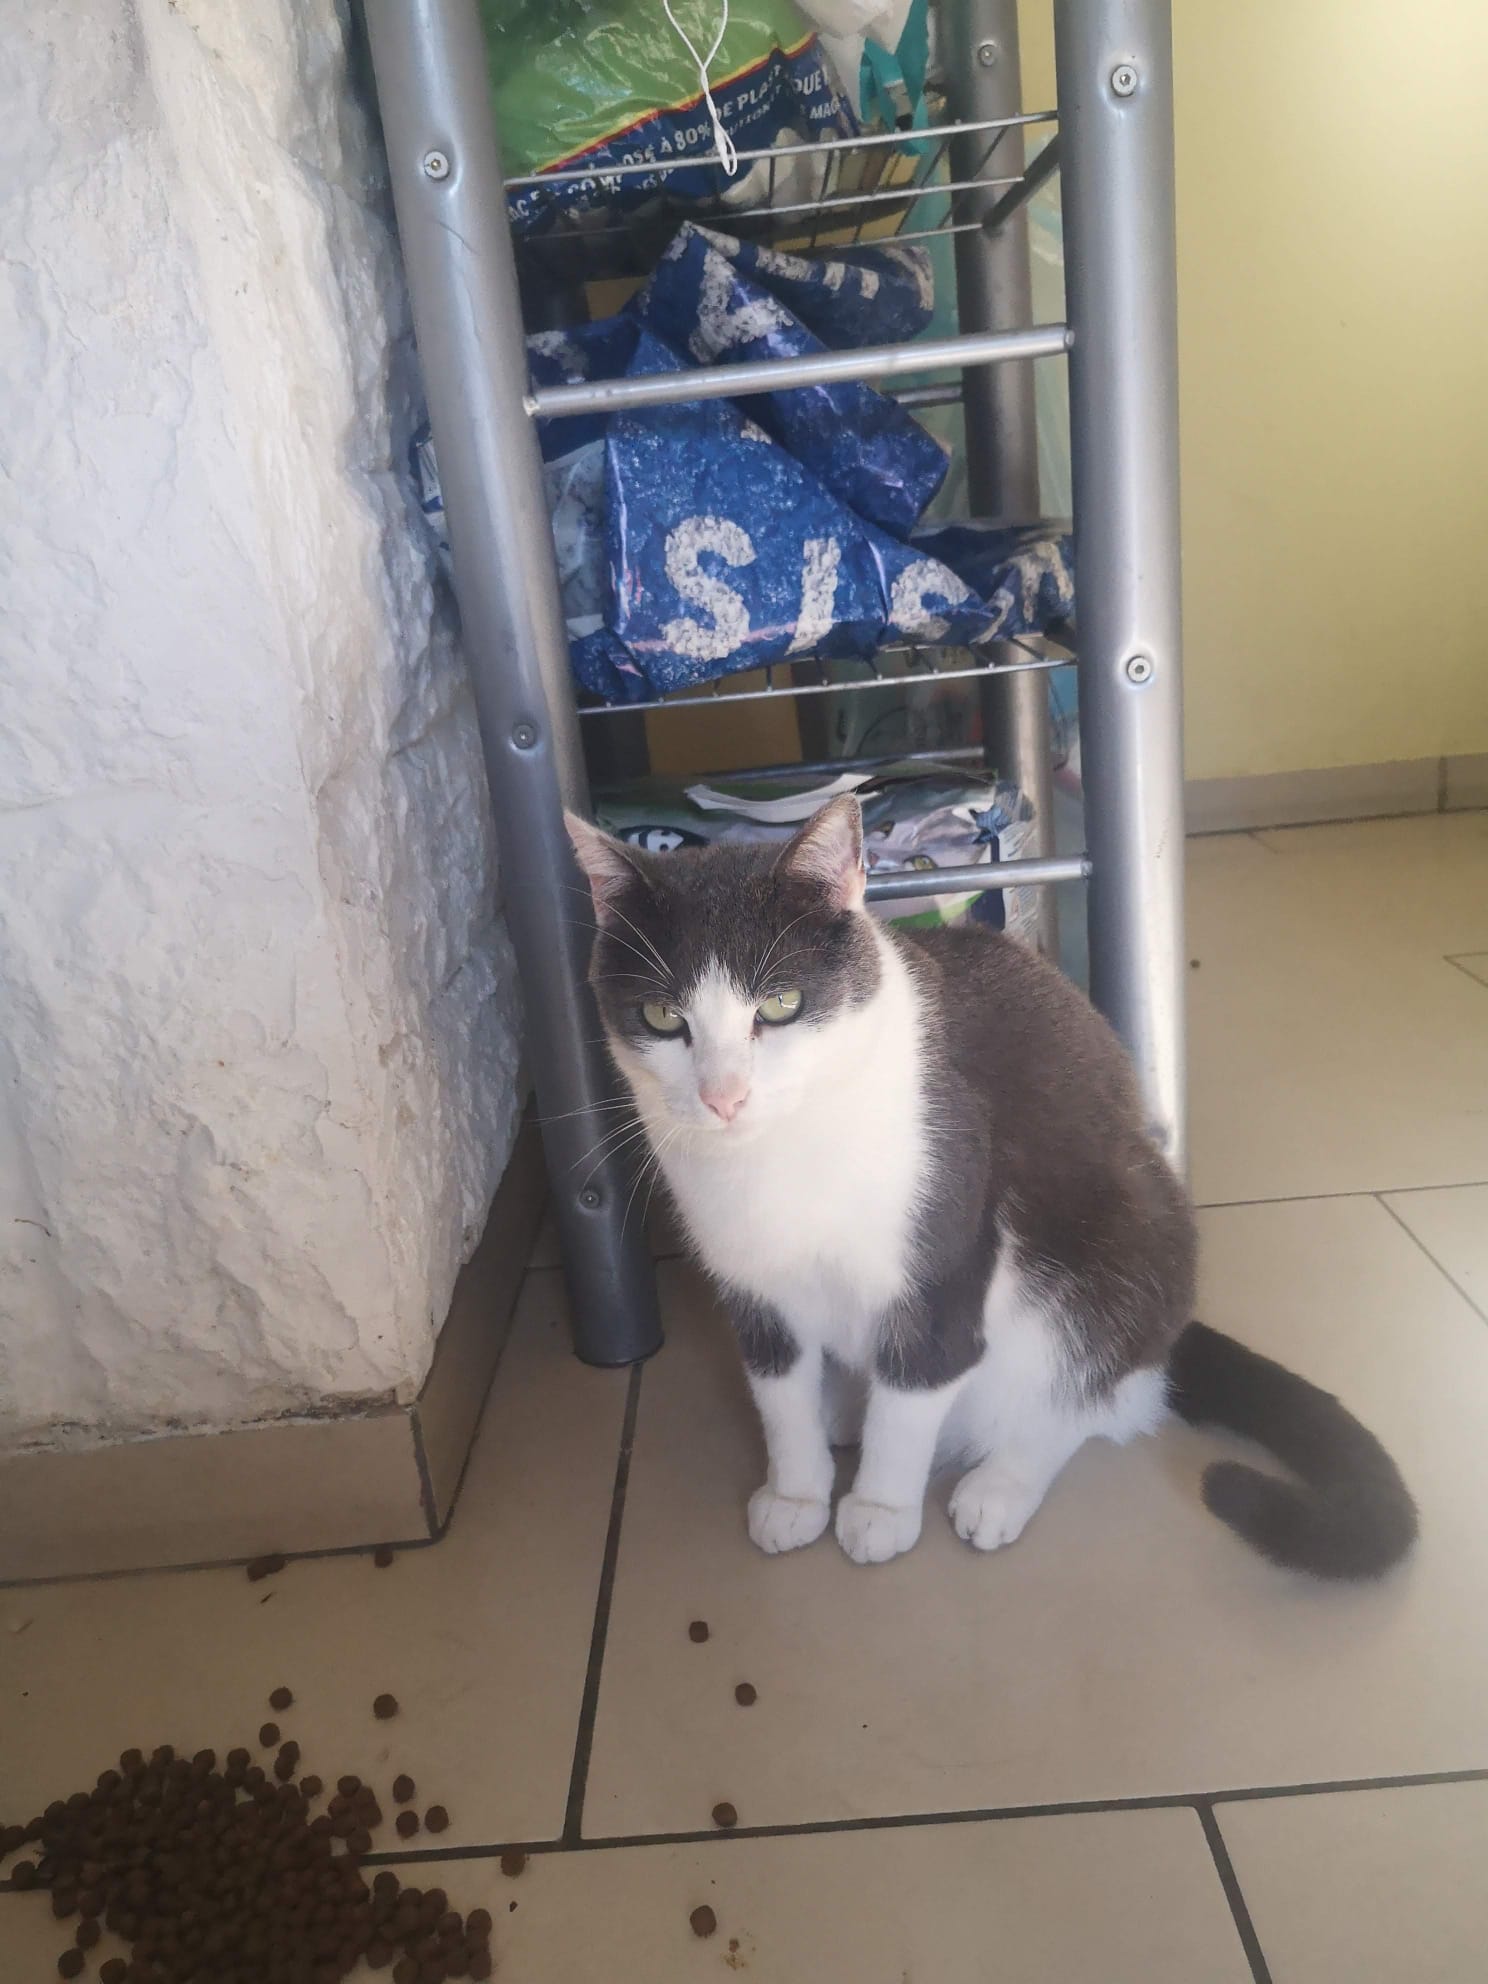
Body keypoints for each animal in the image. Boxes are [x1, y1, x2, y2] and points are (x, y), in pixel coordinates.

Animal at [567, 795, 1417, 1578]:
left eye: (779, 1004)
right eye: (660, 1015)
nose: (724, 1097)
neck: (780, 1156)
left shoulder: (947, 1242)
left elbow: (917, 1388)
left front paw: (879, 1509)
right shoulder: (756, 1284)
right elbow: (779, 1394)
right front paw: (797, 1493)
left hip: (1126, 1243)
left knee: (1098, 1392)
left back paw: (1003, 1483)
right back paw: (844, 1409)